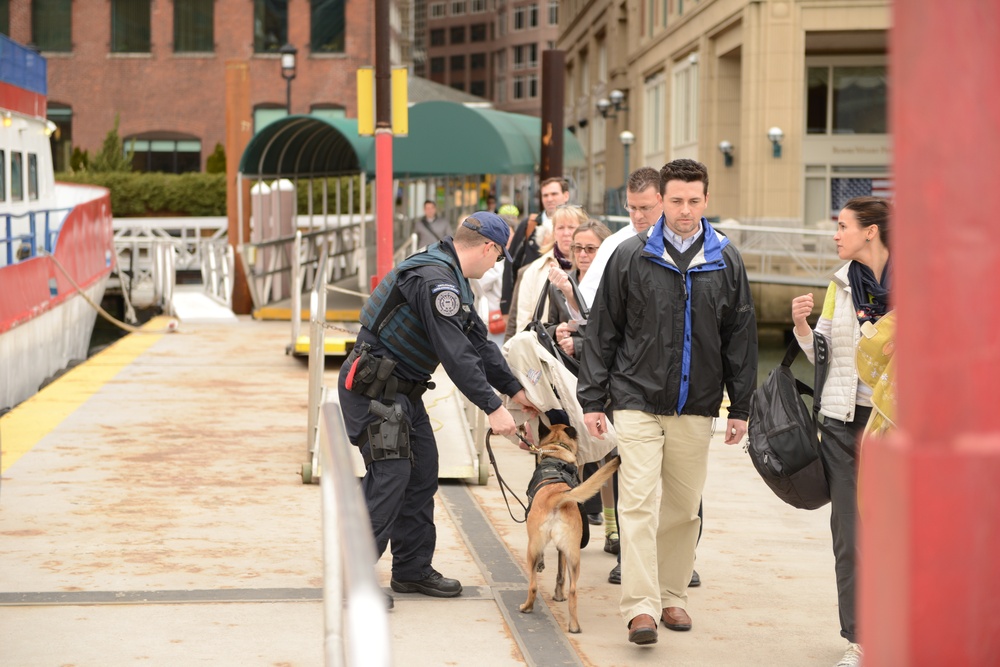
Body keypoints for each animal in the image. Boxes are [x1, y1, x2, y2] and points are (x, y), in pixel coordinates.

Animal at [520, 426, 620, 636]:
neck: (557, 452)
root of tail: (556, 497)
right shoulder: (563, 551)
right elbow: (560, 576)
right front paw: (559, 595)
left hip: (532, 549)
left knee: (533, 585)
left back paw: (527, 607)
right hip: (573, 554)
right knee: (573, 589)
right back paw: (574, 625)